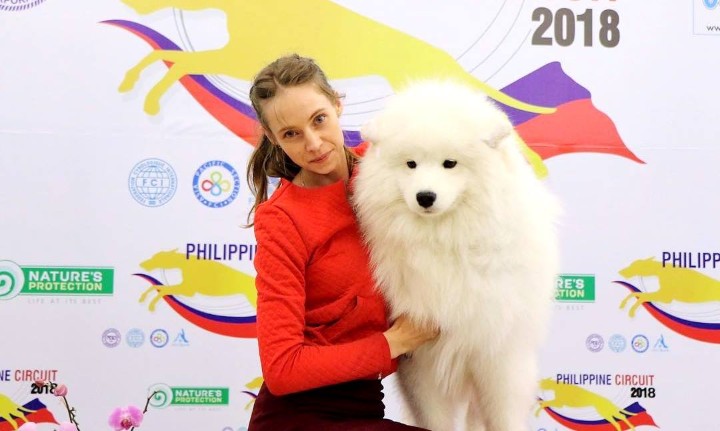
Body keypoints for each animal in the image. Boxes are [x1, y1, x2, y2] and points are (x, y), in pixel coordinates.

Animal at [354, 81, 564, 431]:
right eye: (411, 164)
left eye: (449, 163)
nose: (425, 197)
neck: (444, 238)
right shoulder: (420, 362)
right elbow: (434, 420)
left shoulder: (497, 357)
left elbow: (503, 419)